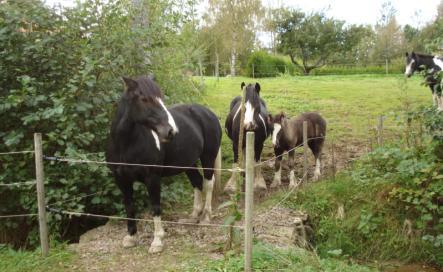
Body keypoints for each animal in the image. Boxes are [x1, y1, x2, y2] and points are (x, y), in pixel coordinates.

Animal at [104, 76, 222, 253]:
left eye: (161, 98)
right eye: (144, 99)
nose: (171, 131)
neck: (125, 145)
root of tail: (208, 112)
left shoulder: (152, 178)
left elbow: (155, 206)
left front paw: (157, 241)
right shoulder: (121, 179)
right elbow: (129, 206)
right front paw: (131, 238)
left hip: (207, 157)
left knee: (208, 183)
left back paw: (206, 217)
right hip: (188, 163)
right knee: (197, 182)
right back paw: (194, 215)